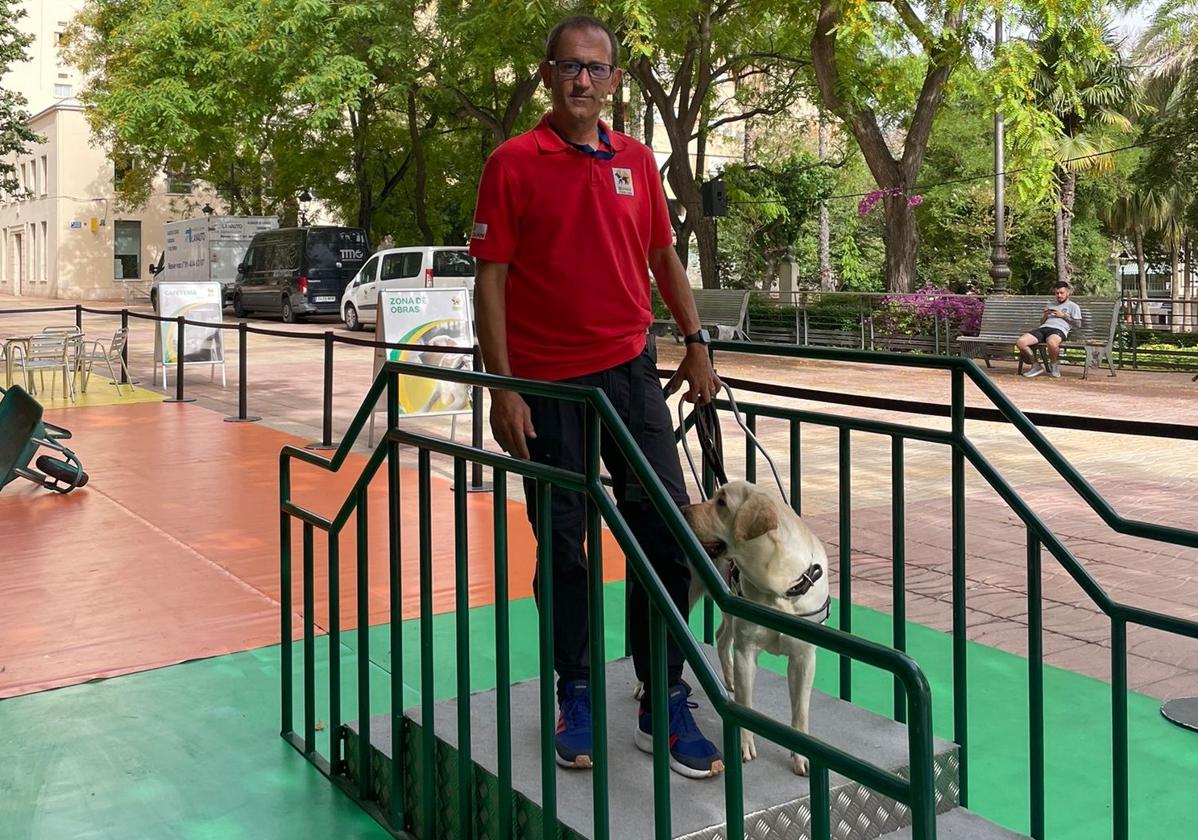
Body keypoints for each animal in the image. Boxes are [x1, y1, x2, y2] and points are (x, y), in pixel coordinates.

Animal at [680, 479, 829, 771]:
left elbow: (800, 710)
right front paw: (744, 745)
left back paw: (728, 677)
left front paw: (801, 755)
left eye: (722, 502)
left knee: (721, 636)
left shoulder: (804, 657)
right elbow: (745, 705)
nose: (683, 509)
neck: (779, 584)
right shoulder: (746, 651)